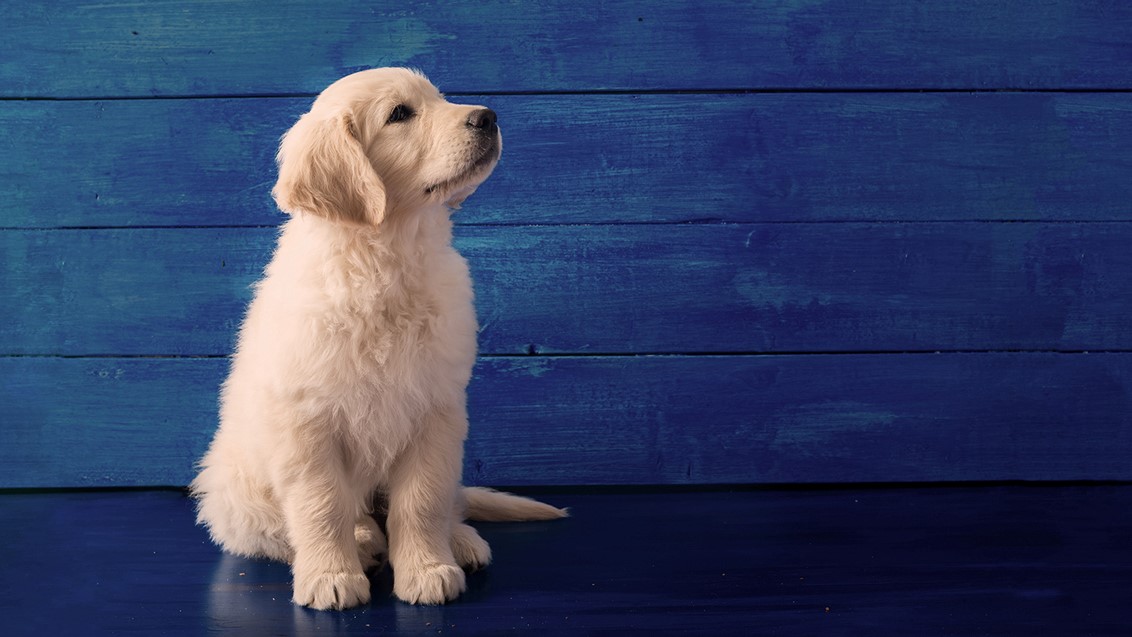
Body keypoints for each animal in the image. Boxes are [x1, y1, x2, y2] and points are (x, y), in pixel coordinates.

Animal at [194, 67, 570, 610]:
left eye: (439, 99)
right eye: (399, 114)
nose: (489, 117)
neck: (388, 257)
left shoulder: (436, 410)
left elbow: (422, 501)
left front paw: (429, 568)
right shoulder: (306, 421)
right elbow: (321, 505)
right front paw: (331, 574)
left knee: (440, 503)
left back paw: (458, 541)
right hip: (237, 491)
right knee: (287, 526)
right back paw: (364, 542)